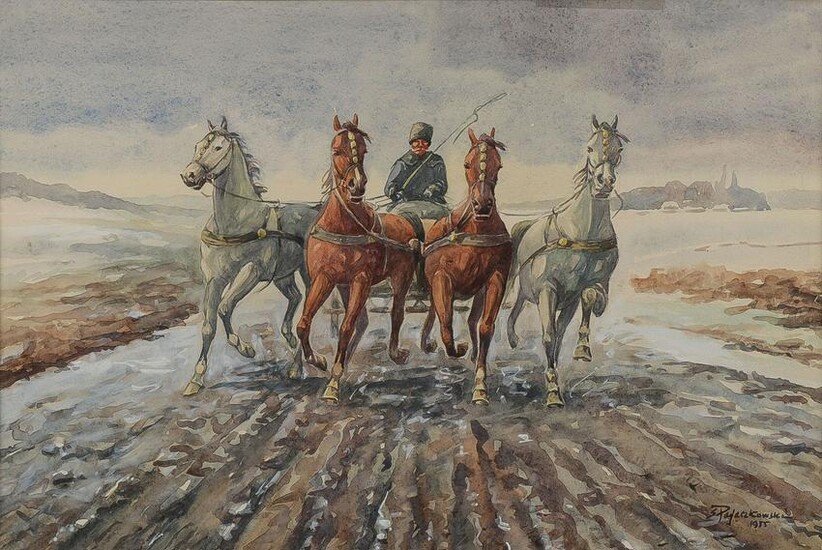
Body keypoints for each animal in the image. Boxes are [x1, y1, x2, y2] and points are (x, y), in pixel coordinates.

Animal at [180, 116, 319, 396]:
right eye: (198, 145)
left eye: (219, 147)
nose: (189, 175)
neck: (236, 221)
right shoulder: (214, 280)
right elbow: (208, 324)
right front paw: (197, 377)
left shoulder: (252, 272)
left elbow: (224, 307)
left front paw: (245, 348)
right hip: (283, 276)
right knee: (295, 297)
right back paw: (289, 340)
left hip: (308, 274)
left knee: (306, 312)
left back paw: (295, 367)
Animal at [295, 114, 422, 404]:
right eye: (336, 150)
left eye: (363, 151)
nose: (357, 185)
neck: (344, 226)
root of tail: (406, 220)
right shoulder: (325, 278)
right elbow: (304, 323)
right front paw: (319, 361)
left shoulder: (361, 281)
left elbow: (345, 327)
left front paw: (333, 382)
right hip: (343, 286)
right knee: (363, 320)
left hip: (401, 278)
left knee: (396, 313)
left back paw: (394, 353)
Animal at [420, 128, 512, 405]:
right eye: (466, 163)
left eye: (498, 165)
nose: (482, 205)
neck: (475, 230)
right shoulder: (442, 279)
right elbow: (446, 325)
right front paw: (457, 348)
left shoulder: (495, 279)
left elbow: (485, 326)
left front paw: (480, 385)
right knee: (439, 315)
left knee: (472, 321)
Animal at [506, 115, 629, 407]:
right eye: (589, 147)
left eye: (619, 149)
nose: (604, 182)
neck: (581, 232)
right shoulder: (547, 289)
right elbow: (549, 335)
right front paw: (553, 390)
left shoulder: (589, 288)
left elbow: (589, 299)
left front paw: (583, 348)